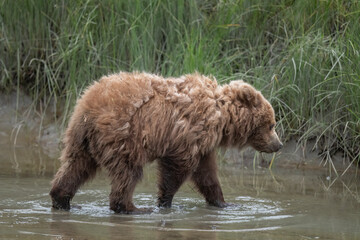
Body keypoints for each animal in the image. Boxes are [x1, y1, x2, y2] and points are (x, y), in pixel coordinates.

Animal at [49, 71, 282, 214]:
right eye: (271, 124)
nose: (278, 145)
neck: (221, 116)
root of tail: (89, 106)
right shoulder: (189, 133)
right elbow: (178, 168)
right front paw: (165, 202)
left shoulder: (204, 144)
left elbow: (207, 174)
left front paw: (224, 202)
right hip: (122, 135)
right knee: (128, 172)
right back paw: (132, 208)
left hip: (81, 139)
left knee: (75, 167)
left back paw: (61, 199)